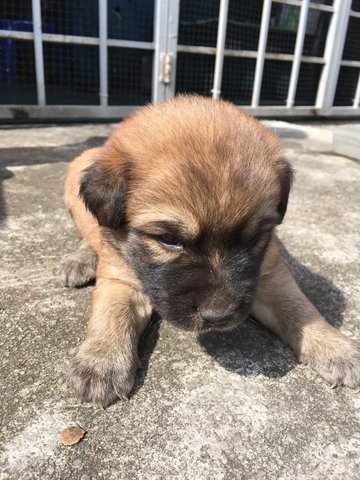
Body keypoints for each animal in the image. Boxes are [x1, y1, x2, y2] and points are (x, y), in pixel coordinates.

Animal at [59, 95, 360, 406]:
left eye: (254, 237)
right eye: (168, 239)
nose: (219, 316)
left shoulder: (270, 273)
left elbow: (301, 309)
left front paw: (334, 347)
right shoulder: (120, 279)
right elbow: (111, 314)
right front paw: (100, 361)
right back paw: (80, 259)